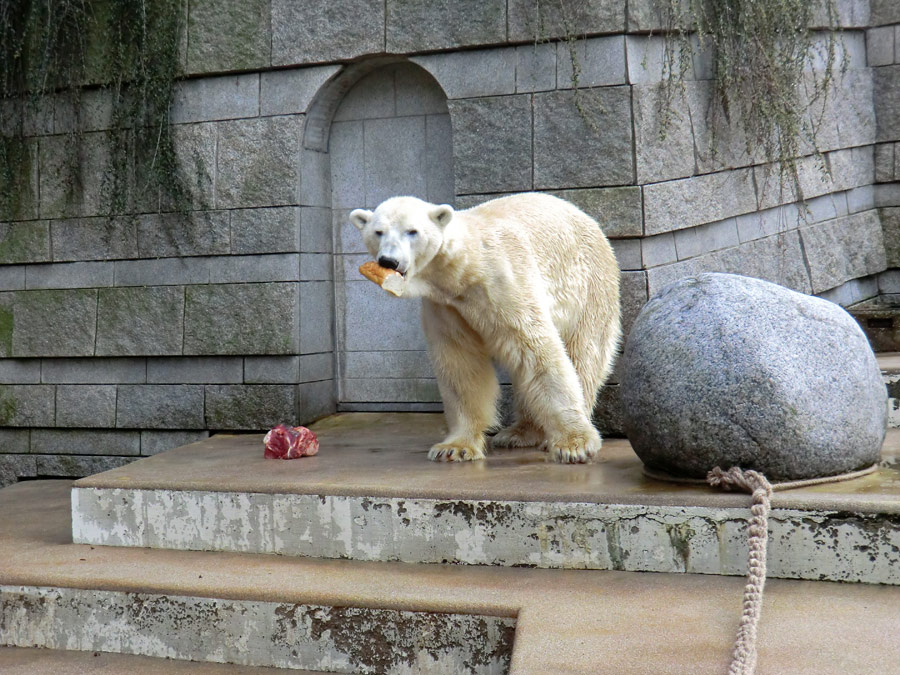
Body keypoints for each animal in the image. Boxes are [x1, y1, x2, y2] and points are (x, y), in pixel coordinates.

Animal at [350, 193, 620, 462]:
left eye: (412, 231)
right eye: (378, 232)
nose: (388, 260)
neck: (466, 270)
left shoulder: (504, 284)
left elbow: (536, 350)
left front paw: (575, 444)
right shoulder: (447, 307)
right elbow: (460, 363)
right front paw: (454, 447)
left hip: (590, 289)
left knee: (584, 355)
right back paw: (517, 433)